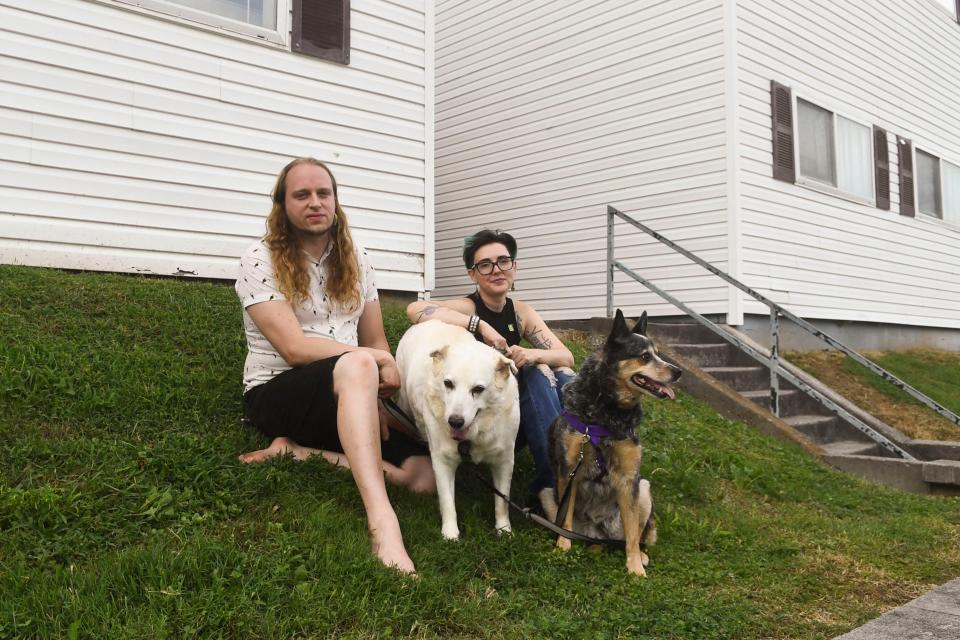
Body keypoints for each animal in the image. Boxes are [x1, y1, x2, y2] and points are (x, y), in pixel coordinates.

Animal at [396, 320, 520, 540]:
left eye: (478, 389)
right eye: (448, 384)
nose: (455, 421)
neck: (472, 436)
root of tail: (428, 322)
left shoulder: (504, 460)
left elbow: (502, 501)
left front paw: (504, 530)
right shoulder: (442, 461)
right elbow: (447, 502)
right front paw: (450, 535)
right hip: (404, 403)